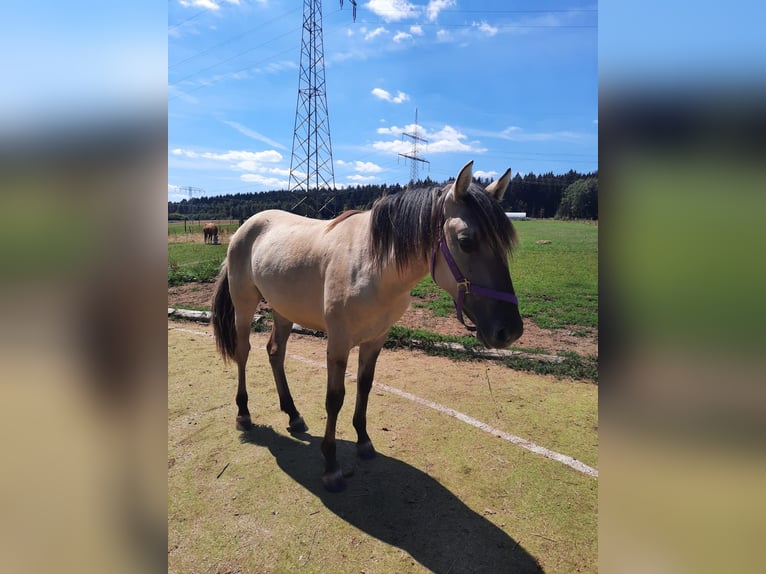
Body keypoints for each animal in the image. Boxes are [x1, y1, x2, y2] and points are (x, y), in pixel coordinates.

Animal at [212, 160, 520, 492]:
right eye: (466, 242)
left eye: (505, 244)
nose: (510, 330)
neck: (373, 266)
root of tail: (246, 226)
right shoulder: (338, 343)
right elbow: (335, 399)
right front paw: (331, 466)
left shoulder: (375, 340)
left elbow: (365, 386)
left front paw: (363, 440)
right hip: (244, 307)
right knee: (243, 352)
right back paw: (244, 413)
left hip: (284, 311)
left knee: (275, 353)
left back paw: (293, 414)